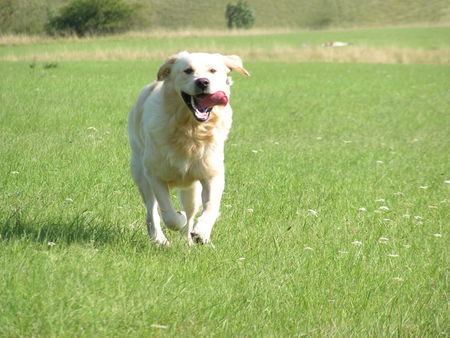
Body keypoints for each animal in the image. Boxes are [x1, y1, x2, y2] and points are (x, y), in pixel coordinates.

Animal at [127, 50, 250, 246]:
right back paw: (159, 239)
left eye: (212, 70)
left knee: (191, 213)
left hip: (192, 190)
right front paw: (178, 218)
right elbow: (167, 213)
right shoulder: (155, 175)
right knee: (152, 211)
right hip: (141, 174)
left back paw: (188, 241)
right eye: (188, 70)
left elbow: (211, 206)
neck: (191, 130)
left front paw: (202, 232)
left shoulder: (212, 174)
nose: (203, 82)